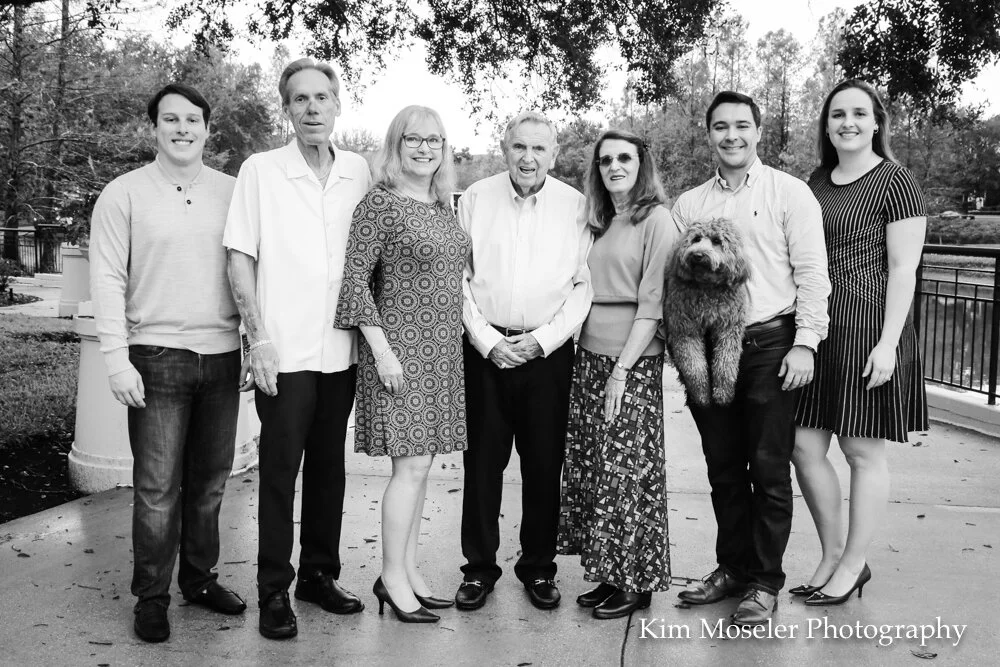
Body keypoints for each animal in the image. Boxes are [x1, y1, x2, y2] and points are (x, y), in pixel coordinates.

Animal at [663, 218, 751, 407]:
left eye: (717, 241)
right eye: (696, 239)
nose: (697, 255)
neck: (707, 287)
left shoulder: (729, 327)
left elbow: (726, 362)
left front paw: (723, 393)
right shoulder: (684, 329)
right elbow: (694, 366)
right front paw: (701, 395)